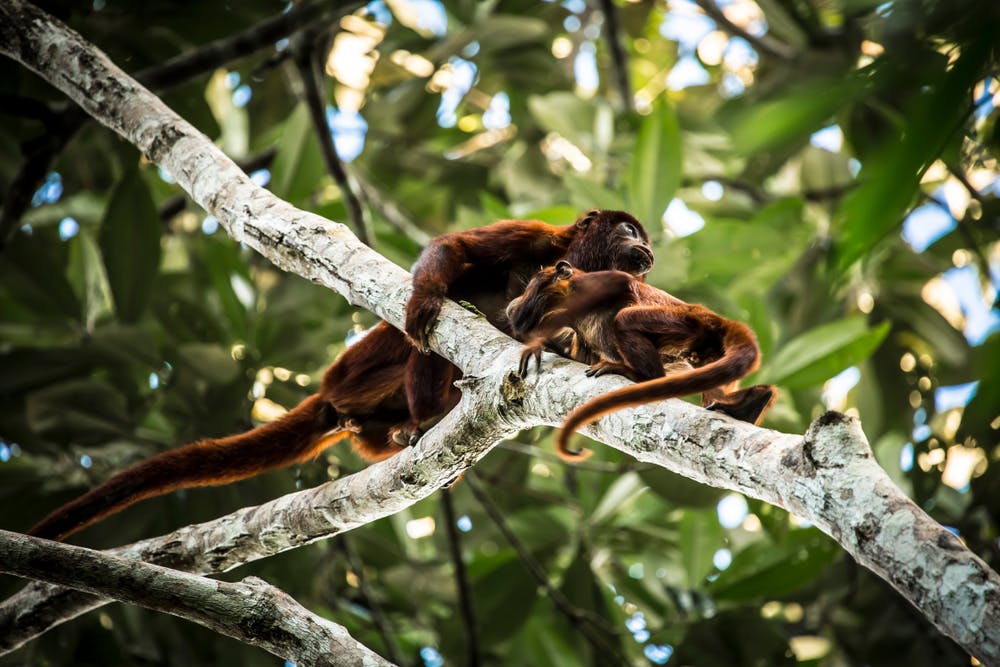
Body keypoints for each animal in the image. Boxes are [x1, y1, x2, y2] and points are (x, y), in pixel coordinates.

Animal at [504, 260, 776, 460]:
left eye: (530, 286)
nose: (513, 303)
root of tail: (716, 319)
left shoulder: (593, 282)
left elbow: (621, 282)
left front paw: (537, 340)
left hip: (686, 322)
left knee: (625, 320)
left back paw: (641, 375)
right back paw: (751, 402)